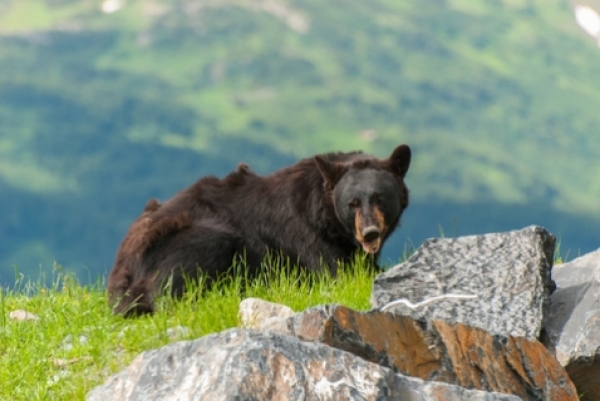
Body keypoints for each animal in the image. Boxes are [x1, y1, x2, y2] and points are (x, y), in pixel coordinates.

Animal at [108, 144, 410, 316]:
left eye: (380, 198)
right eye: (352, 203)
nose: (370, 232)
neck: (326, 217)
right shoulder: (308, 237)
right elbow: (340, 272)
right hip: (192, 238)